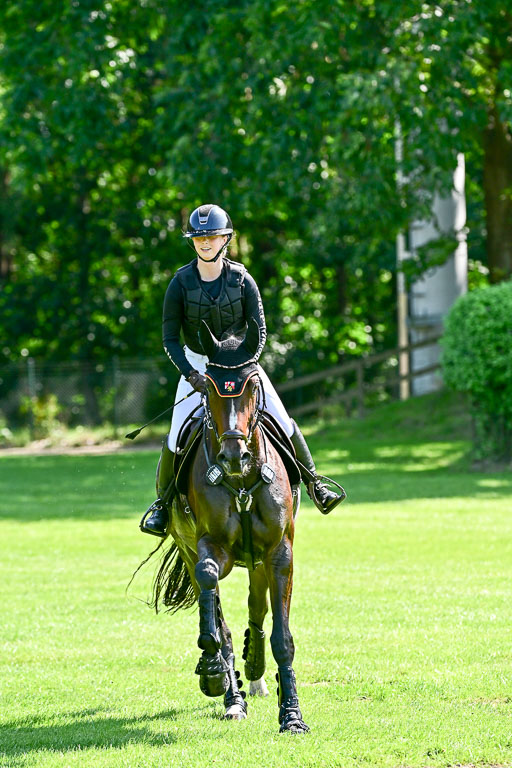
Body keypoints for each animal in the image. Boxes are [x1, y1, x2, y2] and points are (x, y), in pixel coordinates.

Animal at [150, 318, 309, 733]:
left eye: (252, 384)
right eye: (206, 386)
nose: (233, 455)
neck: (241, 482)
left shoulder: (279, 553)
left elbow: (281, 634)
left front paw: (292, 716)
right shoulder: (210, 547)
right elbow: (213, 602)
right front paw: (213, 671)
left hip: (257, 561)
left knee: (258, 608)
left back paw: (254, 671)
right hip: (189, 548)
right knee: (217, 606)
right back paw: (232, 694)